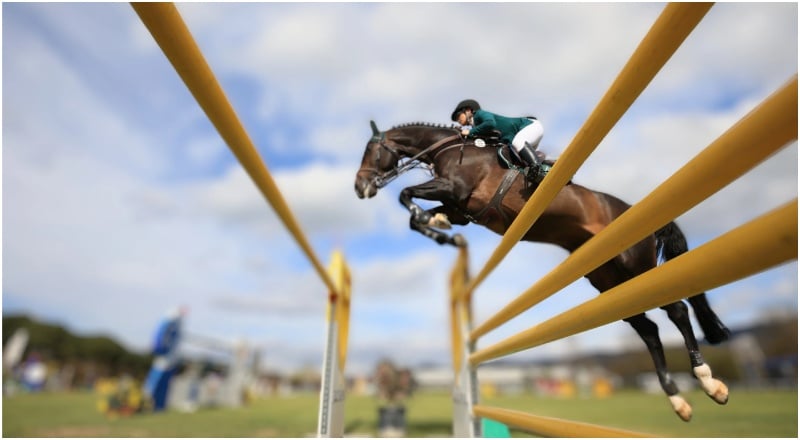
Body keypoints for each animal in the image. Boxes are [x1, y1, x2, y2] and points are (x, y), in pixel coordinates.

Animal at [354, 120, 732, 422]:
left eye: (371, 152)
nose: (360, 188)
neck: (451, 149)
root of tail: (635, 210)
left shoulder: (455, 190)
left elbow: (406, 194)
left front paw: (431, 223)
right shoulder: (460, 207)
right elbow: (419, 213)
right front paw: (440, 232)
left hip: (634, 265)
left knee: (677, 310)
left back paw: (708, 380)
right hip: (608, 281)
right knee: (650, 330)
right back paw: (678, 400)